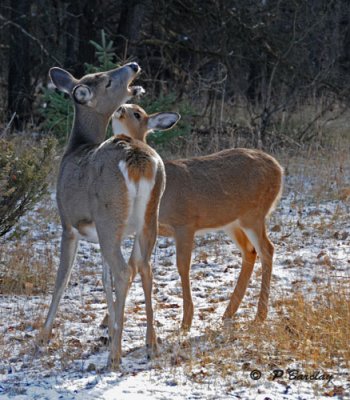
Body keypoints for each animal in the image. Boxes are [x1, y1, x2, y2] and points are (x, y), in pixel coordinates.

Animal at [38, 63, 165, 368]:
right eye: (106, 79)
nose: (133, 65)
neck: (75, 150)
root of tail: (137, 159)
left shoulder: (68, 223)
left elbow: (62, 280)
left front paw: (43, 335)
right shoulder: (98, 235)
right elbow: (104, 280)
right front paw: (111, 326)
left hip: (110, 216)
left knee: (124, 270)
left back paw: (115, 356)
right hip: (147, 218)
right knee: (144, 267)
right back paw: (151, 345)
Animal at [113, 104, 284, 330]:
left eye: (137, 113)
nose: (120, 108)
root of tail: (279, 168)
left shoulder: (185, 223)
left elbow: (182, 265)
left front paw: (186, 321)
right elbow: (132, 265)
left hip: (254, 214)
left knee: (267, 249)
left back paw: (260, 314)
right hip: (232, 222)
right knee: (250, 251)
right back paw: (229, 312)